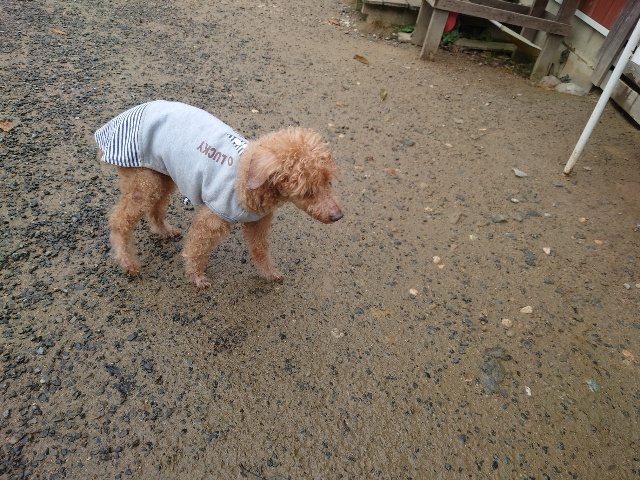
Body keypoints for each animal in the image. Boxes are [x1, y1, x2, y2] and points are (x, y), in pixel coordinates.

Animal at [95, 100, 342, 288]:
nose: (338, 216)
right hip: (142, 179)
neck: (248, 181)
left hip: (159, 175)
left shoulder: (258, 222)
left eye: (328, 182)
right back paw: (127, 262)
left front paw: (269, 274)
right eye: (307, 191)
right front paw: (196, 277)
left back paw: (163, 230)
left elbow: (259, 250)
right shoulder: (212, 218)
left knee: (155, 207)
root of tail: (117, 120)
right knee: (119, 220)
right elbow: (196, 248)